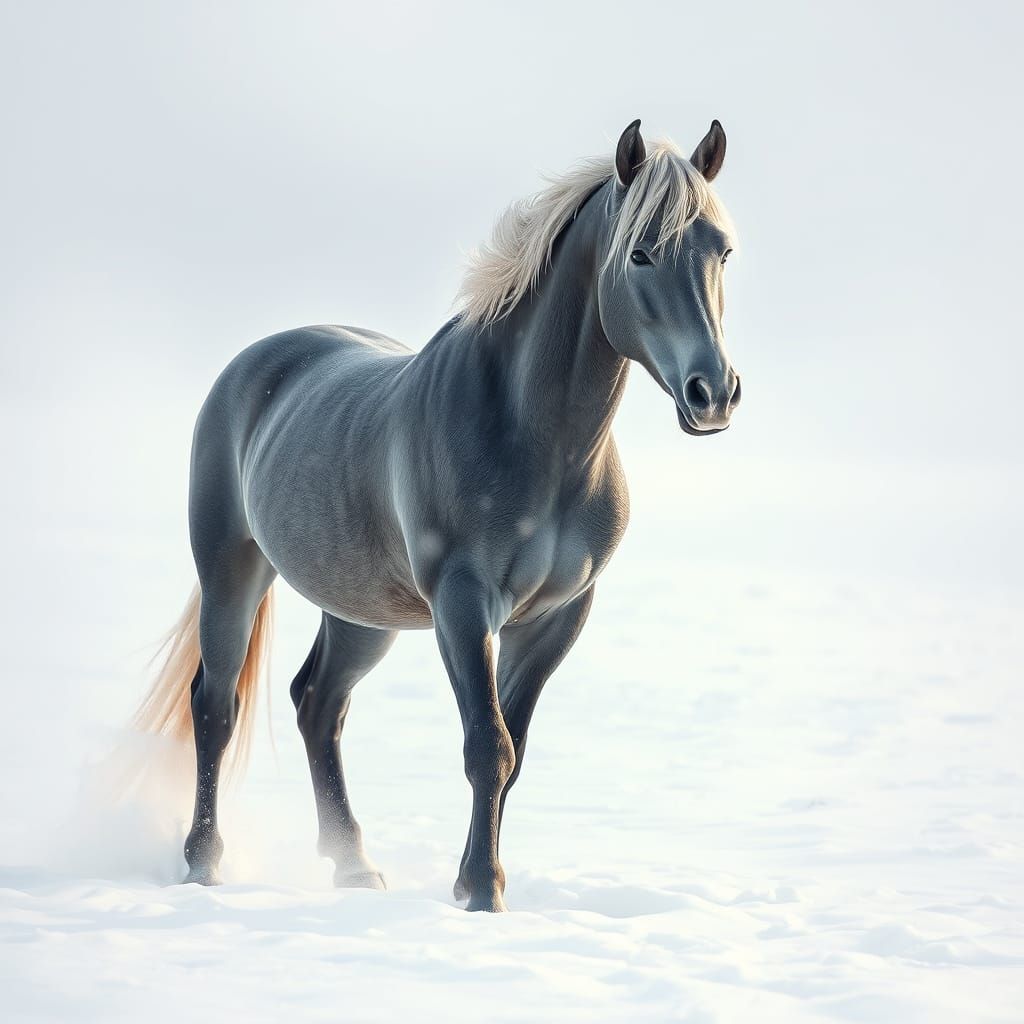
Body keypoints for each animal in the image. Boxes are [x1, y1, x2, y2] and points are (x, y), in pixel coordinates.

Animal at [134, 118, 741, 912]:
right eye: (640, 252)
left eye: (722, 250)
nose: (714, 393)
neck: (534, 436)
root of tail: (255, 364)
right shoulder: (463, 603)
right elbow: (488, 745)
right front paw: (482, 890)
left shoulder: (556, 618)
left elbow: (512, 749)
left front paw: (468, 881)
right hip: (232, 573)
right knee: (215, 707)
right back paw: (203, 861)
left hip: (361, 612)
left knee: (318, 703)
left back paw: (354, 865)